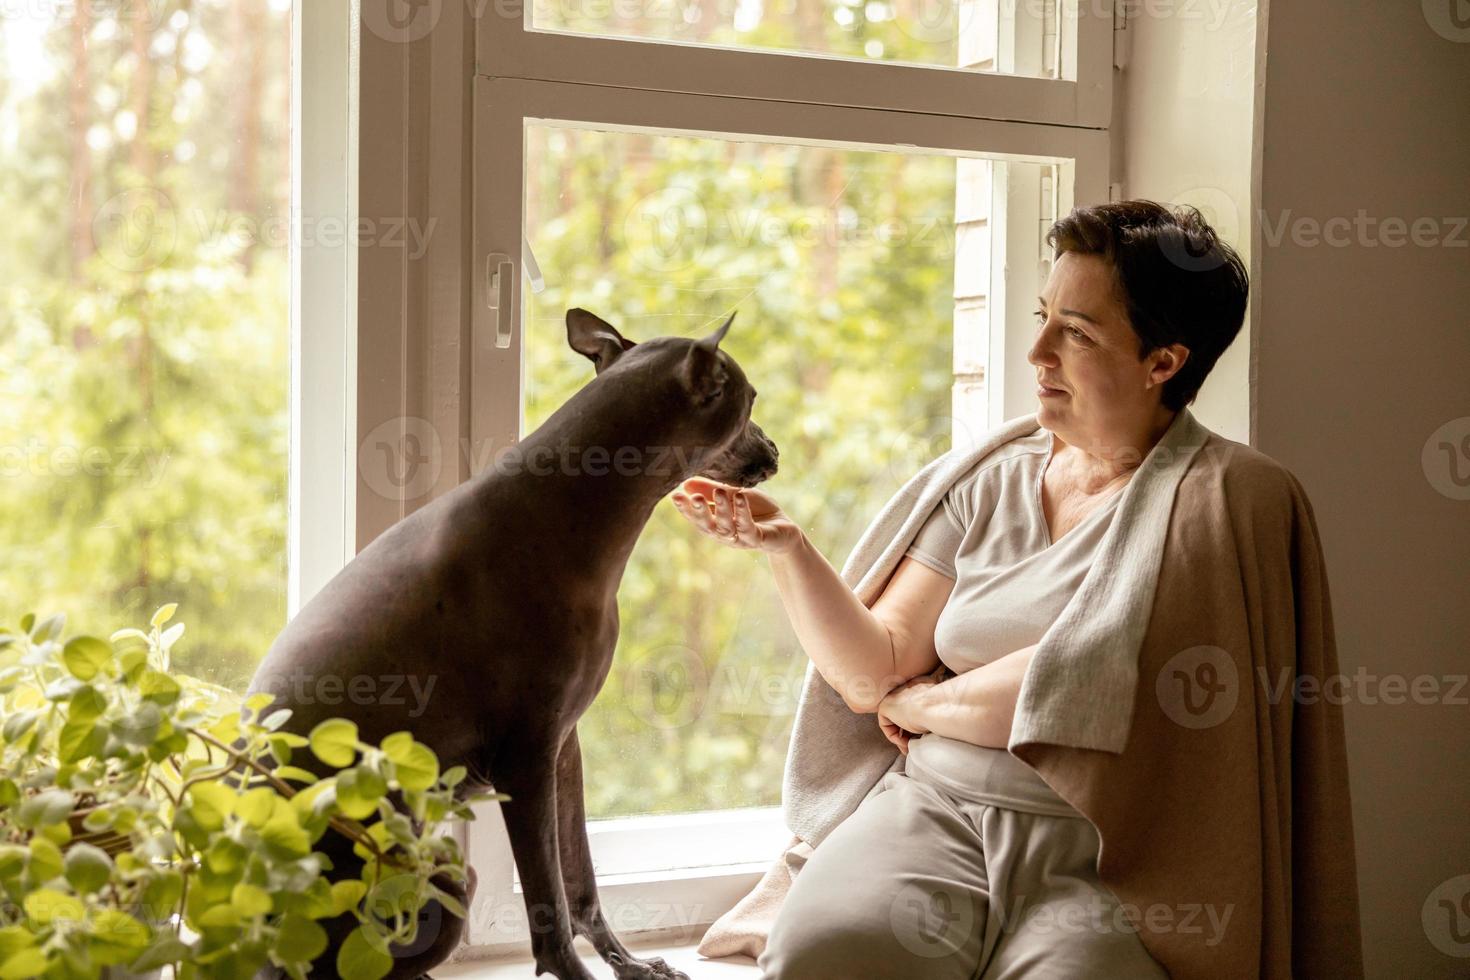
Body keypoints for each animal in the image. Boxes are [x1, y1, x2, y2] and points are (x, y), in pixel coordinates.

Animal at [249, 308, 782, 980]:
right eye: (750, 399)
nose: (774, 451)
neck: (568, 511)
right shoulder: (525, 761)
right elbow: (547, 910)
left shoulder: (562, 749)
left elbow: (580, 886)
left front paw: (629, 965)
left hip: (446, 870)